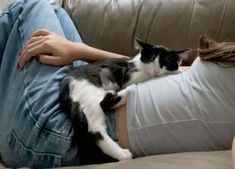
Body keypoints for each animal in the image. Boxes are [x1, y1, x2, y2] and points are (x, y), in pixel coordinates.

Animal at [59, 38, 191, 161]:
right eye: (151, 60)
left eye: (165, 64)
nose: (156, 72)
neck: (139, 64)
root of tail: (66, 87)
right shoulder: (130, 75)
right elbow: (143, 77)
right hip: (91, 92)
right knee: (99, 115)